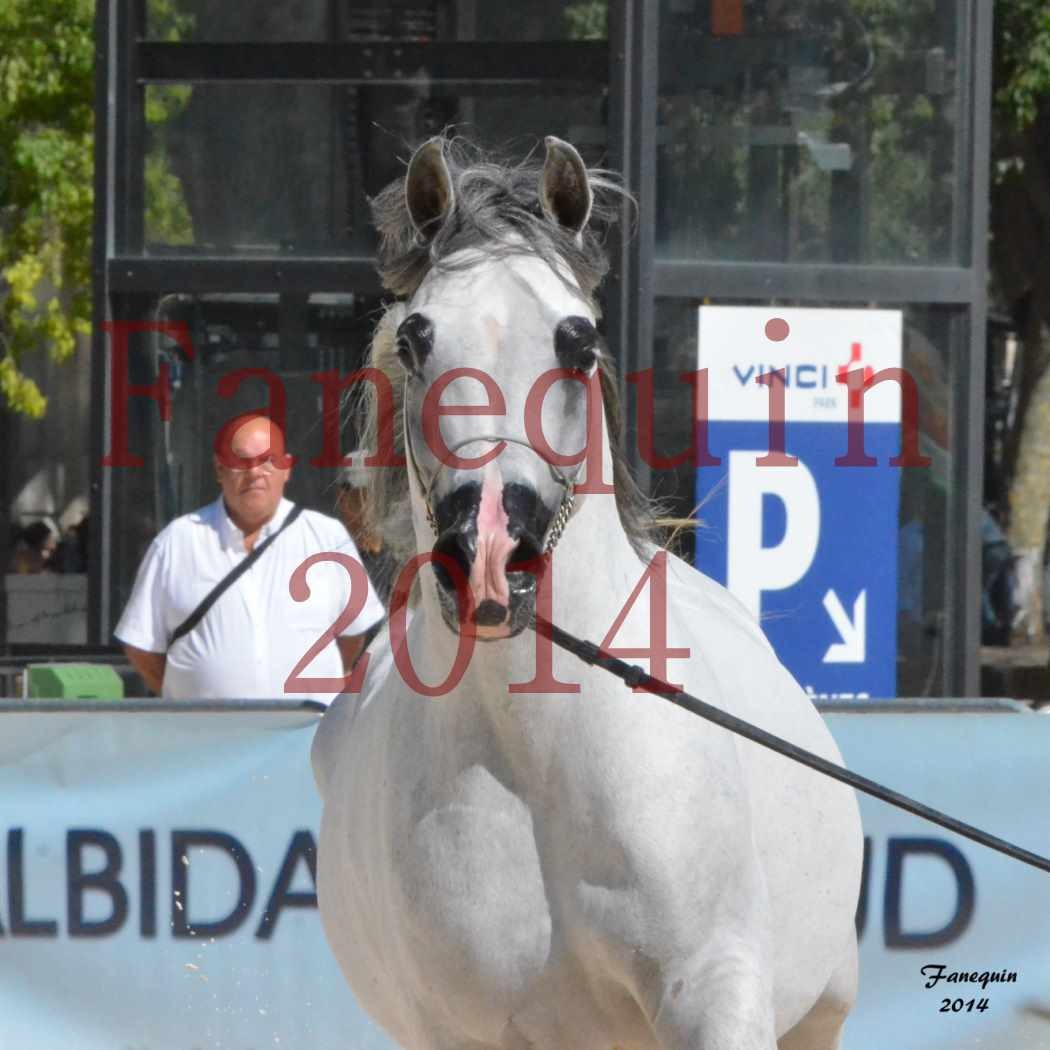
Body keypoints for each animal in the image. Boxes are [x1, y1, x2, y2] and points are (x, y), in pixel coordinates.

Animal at [310, 139, 860, 1050]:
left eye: (579, 340)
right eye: (417, 342)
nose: (489, 558)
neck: (541, 753)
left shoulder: (716, 990)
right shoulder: (462, 1031)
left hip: (821, 1009)